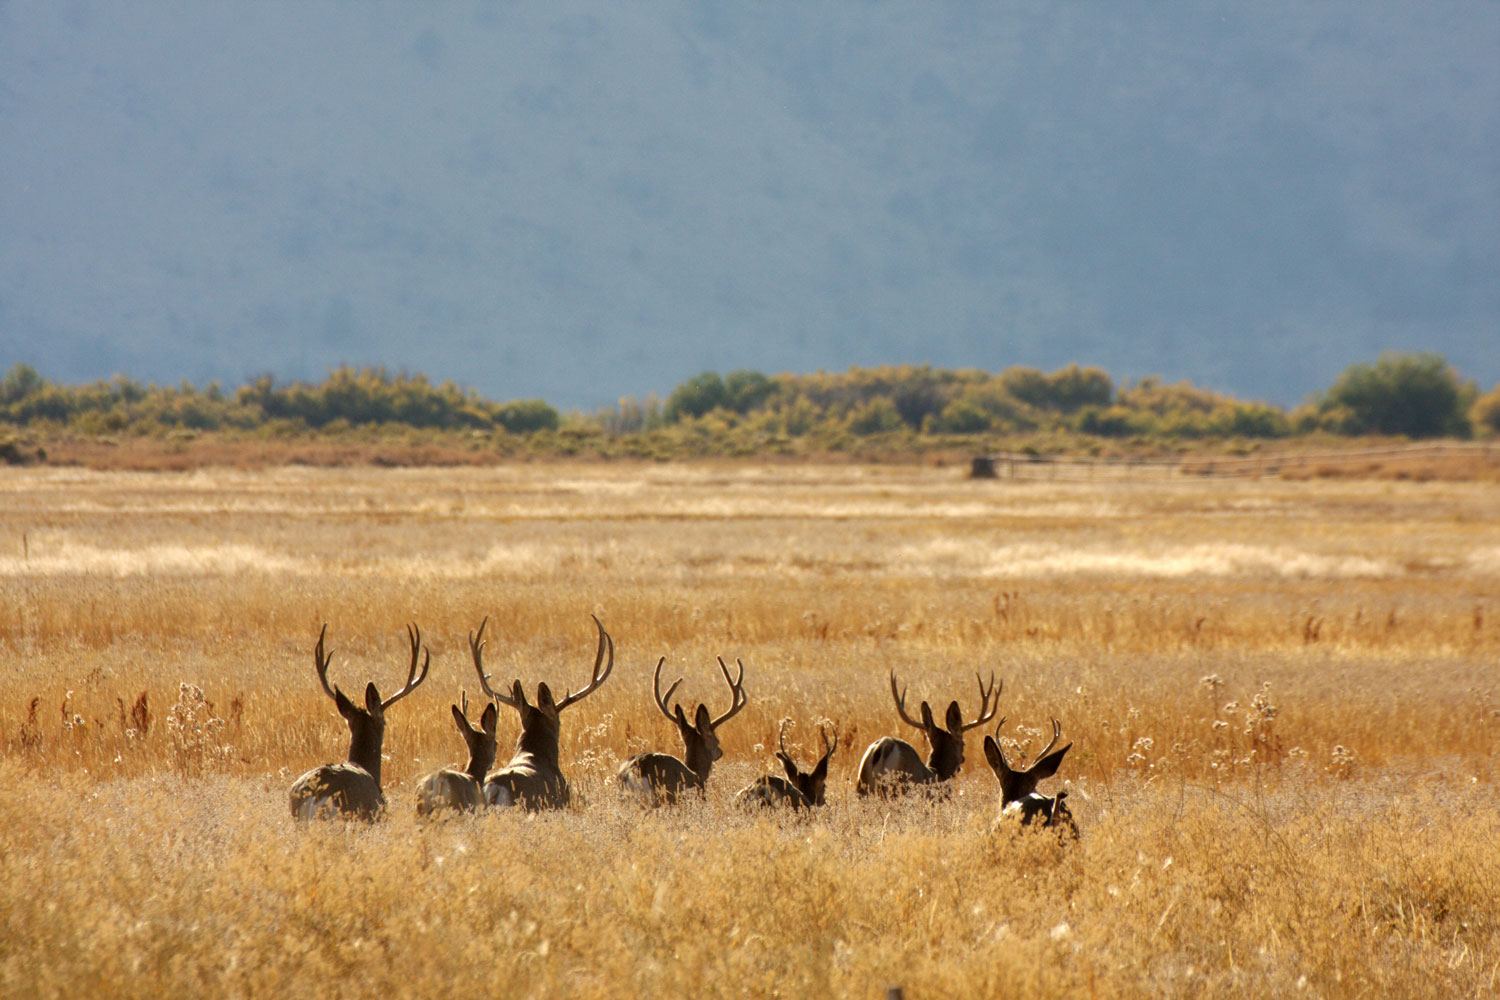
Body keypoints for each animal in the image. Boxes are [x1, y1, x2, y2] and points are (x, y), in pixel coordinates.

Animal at [858, 668, 996, 803]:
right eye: (963, 743)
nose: (963, 759)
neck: (938, 775)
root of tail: (885, 744)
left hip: (863, 787)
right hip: (898, 789)